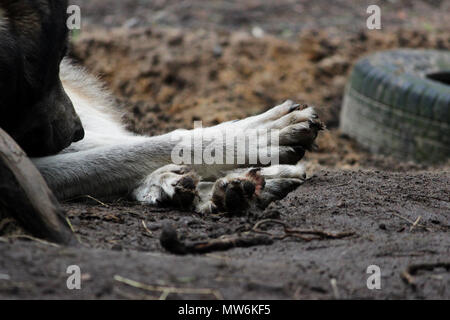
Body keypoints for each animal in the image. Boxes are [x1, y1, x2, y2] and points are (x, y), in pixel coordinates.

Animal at [0, 1, 324, 215]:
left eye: (59, 55)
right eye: (48, 61)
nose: (75, 132)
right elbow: (113, 159)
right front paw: (258, 138)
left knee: (124, 139)